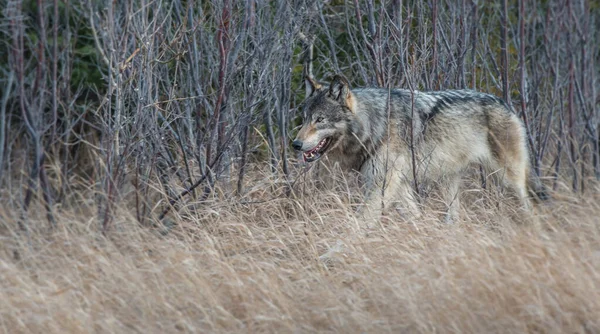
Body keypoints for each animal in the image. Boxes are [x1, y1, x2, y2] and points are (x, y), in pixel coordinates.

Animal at [292, 75, 548, 222]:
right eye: (304, 119)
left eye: (320, 120)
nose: (295, 144)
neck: (374, 124)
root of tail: (505, 104)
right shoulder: (398, 184)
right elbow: (415, 215)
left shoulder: (382, 186)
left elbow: (357, 223)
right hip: (450, 182)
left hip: (508, 178)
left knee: (533, 207)